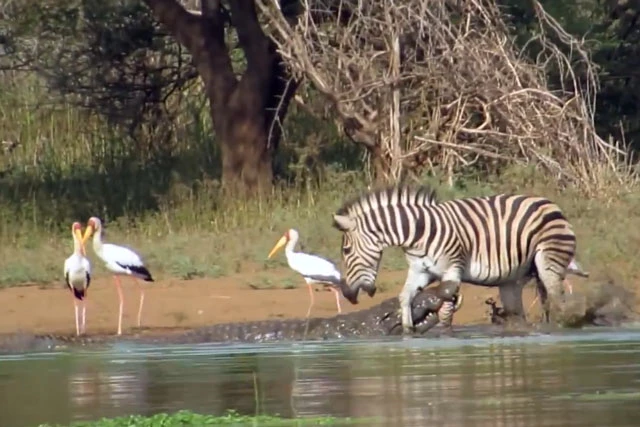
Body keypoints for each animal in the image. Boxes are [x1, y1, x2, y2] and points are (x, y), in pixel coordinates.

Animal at [332, 184, 584, 334]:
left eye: (346, 250)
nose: (347, 294)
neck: (417, 233)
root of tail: (548, 202)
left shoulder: (452, 268)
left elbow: (445, 301)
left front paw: (445, 330)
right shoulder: (420, 270)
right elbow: (405, 297)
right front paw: (408, 331)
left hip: (549, 260)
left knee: (557, 297)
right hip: (514, 277)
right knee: (523, 309)